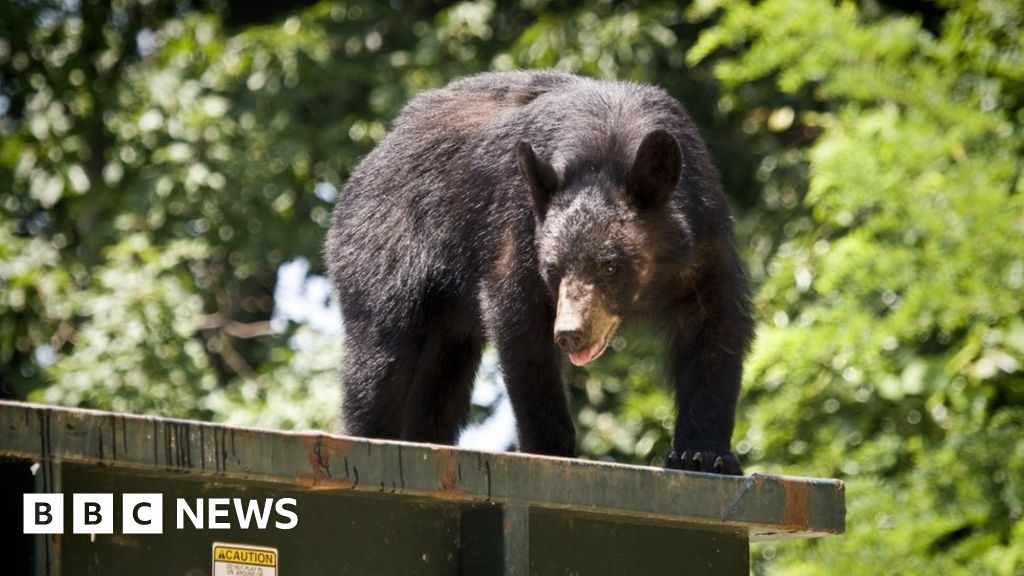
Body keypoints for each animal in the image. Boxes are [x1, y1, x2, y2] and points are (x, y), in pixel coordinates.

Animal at [325, 69, 753, 471]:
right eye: (553, 267)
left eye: (610, 265)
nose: (570, 333)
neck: (609, 146)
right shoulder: (518, 226)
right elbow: (520, 325)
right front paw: (551, 448)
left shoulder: (706, 236)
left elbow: (716, 326)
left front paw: (704, 455)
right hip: (384, 245)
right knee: (383, 358)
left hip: (447, 323)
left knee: (440, 385)